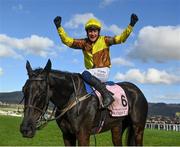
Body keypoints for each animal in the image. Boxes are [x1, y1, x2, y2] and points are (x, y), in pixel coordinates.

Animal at [20, 59, 148, 146]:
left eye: (42, 92)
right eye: (23, 90)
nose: (26, 129)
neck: (72, 98)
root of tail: (138, 90)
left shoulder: (83, 135)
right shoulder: (67, 135)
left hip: (138, 128)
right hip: (117, 126)